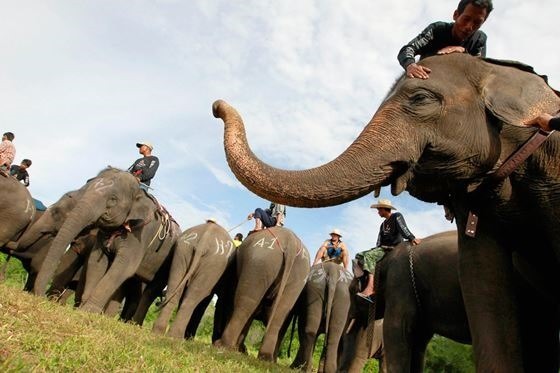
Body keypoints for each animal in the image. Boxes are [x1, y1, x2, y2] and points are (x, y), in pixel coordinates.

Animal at [214, 225, 310, 362]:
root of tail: (291, 241)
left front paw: (239, 349)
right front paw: (241, 349)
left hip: (259, 262)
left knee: (246, 302)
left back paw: (222, 345)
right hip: (298, 275)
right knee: (280, 313)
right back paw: (266, 357)